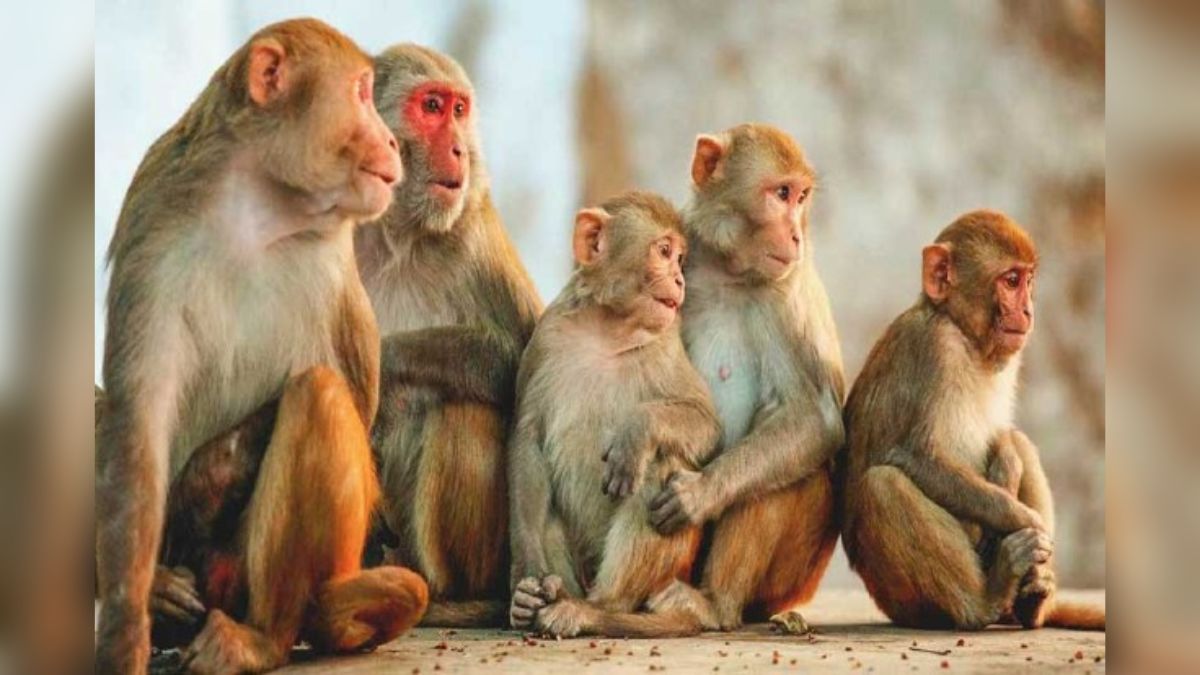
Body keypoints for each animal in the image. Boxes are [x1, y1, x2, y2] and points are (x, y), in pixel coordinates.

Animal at [95, 19, 429, 673]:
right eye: (360, 92)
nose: (391, 142)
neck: (260, 206)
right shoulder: (154, 223)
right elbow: (137, 424)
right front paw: (126, 630)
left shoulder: (334, 259)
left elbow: (354, 398)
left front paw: (204, 478)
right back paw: (165, 594)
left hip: (258, 574)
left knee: (318, 395)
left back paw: (262, 637)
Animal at [354, 44, 542, 627]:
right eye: (431, 107)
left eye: (460, 110)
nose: (459, 148)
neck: (393, 232)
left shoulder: (473, 230)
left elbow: (524, 361)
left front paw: (383, 362)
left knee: (463, 410)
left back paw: (448, 601)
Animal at [507, 191, 723, 638]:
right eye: (664, 252)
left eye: (681, 258)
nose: (679, 281)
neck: (608, 330)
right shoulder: (546, 337)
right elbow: (528, 439)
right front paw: (527, 579)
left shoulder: (666, 344)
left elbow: (706, 424)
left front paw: (636, 433)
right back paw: (542, 599)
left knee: (661, 463)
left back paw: (594, 609)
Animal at [645, 124, 846, 634]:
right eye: (781, 194)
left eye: (801, 196)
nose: (796, 234)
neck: (727, 271)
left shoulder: (787, 294)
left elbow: (814, 418)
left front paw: (700, 493)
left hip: (793, 579)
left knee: (786, 461)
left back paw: (715, 604)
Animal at [839, 209, 1104, 631]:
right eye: (1010, 281)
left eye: (1028, 280)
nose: (1028, 311)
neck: (963, 334)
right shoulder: (936, 348)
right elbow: (920, 457)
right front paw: (1022, 517)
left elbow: (1004, 437)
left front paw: (1008, 464)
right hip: (902, 601)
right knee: (883, 485)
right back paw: (987, 599)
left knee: (1024, 444)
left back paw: (1033, 600)